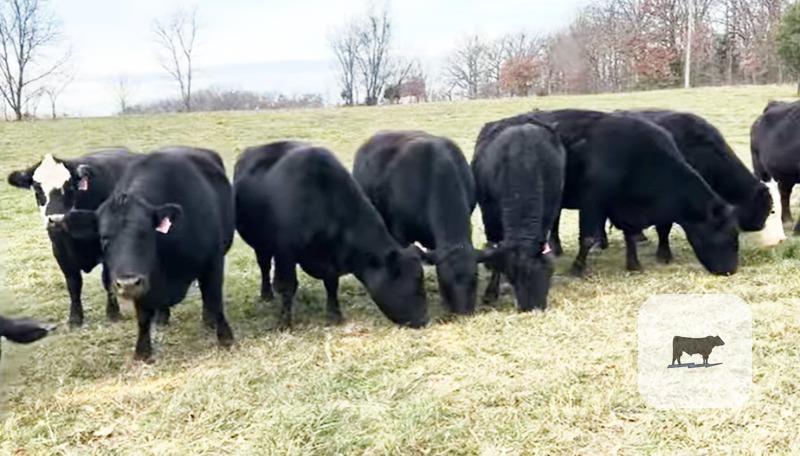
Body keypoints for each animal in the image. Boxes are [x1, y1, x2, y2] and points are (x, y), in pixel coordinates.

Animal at [7, 149, 140, 327]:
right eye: (37, 188)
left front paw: (113, 313)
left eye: (69, 186)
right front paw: (75, 318)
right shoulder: (60, 251)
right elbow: (73, 283)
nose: (56, 219)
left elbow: (106, 279)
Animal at [61, 147, 235, 361]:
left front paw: (225, 337)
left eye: (145, 233)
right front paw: (142, 351)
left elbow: (214, 300)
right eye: (104, 239)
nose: (127, 283)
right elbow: (143, 317)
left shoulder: (213, 261)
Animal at [234, 142, 428, 328]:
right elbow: (288, 286)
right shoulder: (286, 252)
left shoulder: (331, 259)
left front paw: (335, 316)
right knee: (265, 266)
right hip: (261, 245)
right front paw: (284, 322)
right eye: (415, 280)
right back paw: (266, 294)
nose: (424, 319)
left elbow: (331, 284)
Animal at [483, 110, 739, 276]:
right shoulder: (592, 202)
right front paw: (577, 268)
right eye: (728, 235)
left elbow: (630, 234)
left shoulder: (622, 207)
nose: (731, 270)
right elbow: (588, 237)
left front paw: (634, 265)